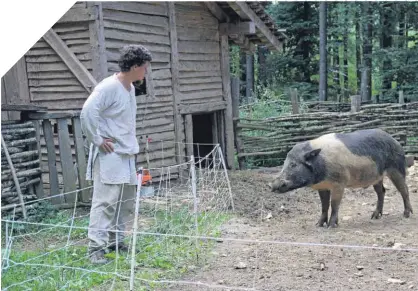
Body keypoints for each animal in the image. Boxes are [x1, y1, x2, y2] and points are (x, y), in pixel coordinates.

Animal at [270, 129, 414, 229]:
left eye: (293, 164)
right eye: (284, 163)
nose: (272, 185)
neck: (321, 165)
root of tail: (395, 141)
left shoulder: (339, 183)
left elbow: (334, 204)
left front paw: (331, 226)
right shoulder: (323, 186)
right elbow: (324, 205)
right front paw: (318, 224)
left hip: (396, 169)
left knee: (404, 190)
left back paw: (407, 215)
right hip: (377, 177)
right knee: (382, 191)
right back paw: (374, 217)